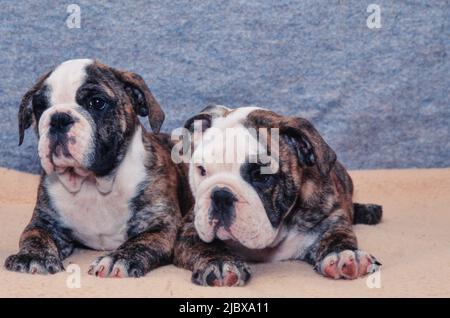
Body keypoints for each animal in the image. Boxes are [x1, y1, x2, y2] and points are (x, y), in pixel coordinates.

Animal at [4, 59, 192, 278]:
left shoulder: (162, 226)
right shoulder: (44, 222)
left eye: (97, 102)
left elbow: (139, 243)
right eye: (39, 106)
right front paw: (32, 256)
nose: (59, 118)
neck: (94, 183)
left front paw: (118, 258)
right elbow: (34, 236)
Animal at [174, 105, 382, 286]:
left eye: (261, 176)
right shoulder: (191, 228)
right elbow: (206, 246)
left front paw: (344, 254)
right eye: (201, 170)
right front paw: (220, 262)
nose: (221, 195)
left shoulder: (331, 216)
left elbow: (337, 234)